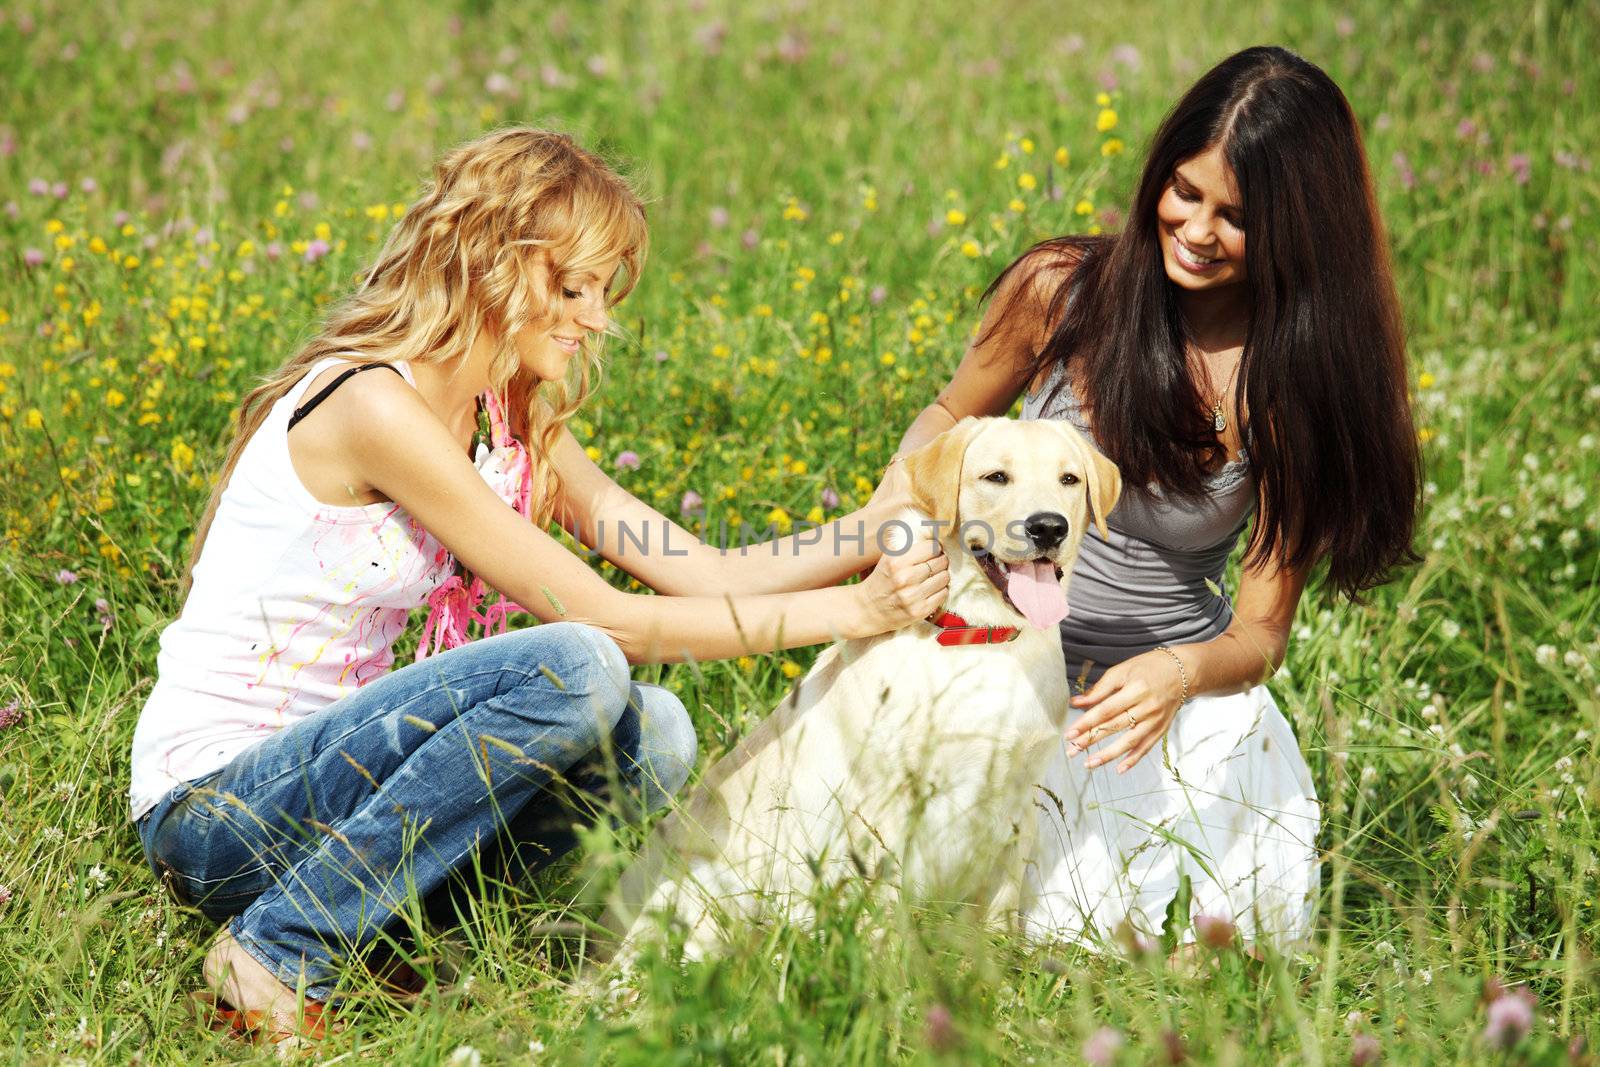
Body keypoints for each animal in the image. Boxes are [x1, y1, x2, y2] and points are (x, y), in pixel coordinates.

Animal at [595, 415, 1120, 959]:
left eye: (1069, 479)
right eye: (996, 477)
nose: (1048, 527)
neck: (983, 640)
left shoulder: (1018, 800)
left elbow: (998, 909)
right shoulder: (885, 805)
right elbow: (885, 912)